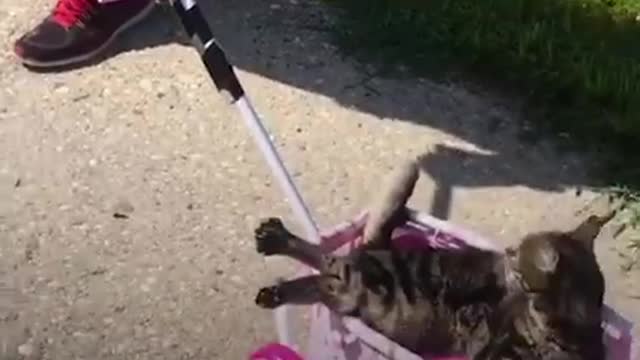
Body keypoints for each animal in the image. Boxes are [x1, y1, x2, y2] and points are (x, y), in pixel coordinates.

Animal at [252, 158, 612, 360]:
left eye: (517, 253)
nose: (505, 253)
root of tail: (380, 246)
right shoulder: (494, 345)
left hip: (352, 294)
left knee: (323, 267)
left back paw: (277, 268)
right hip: (363, 285)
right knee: (325, 263)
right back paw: (277, 250)